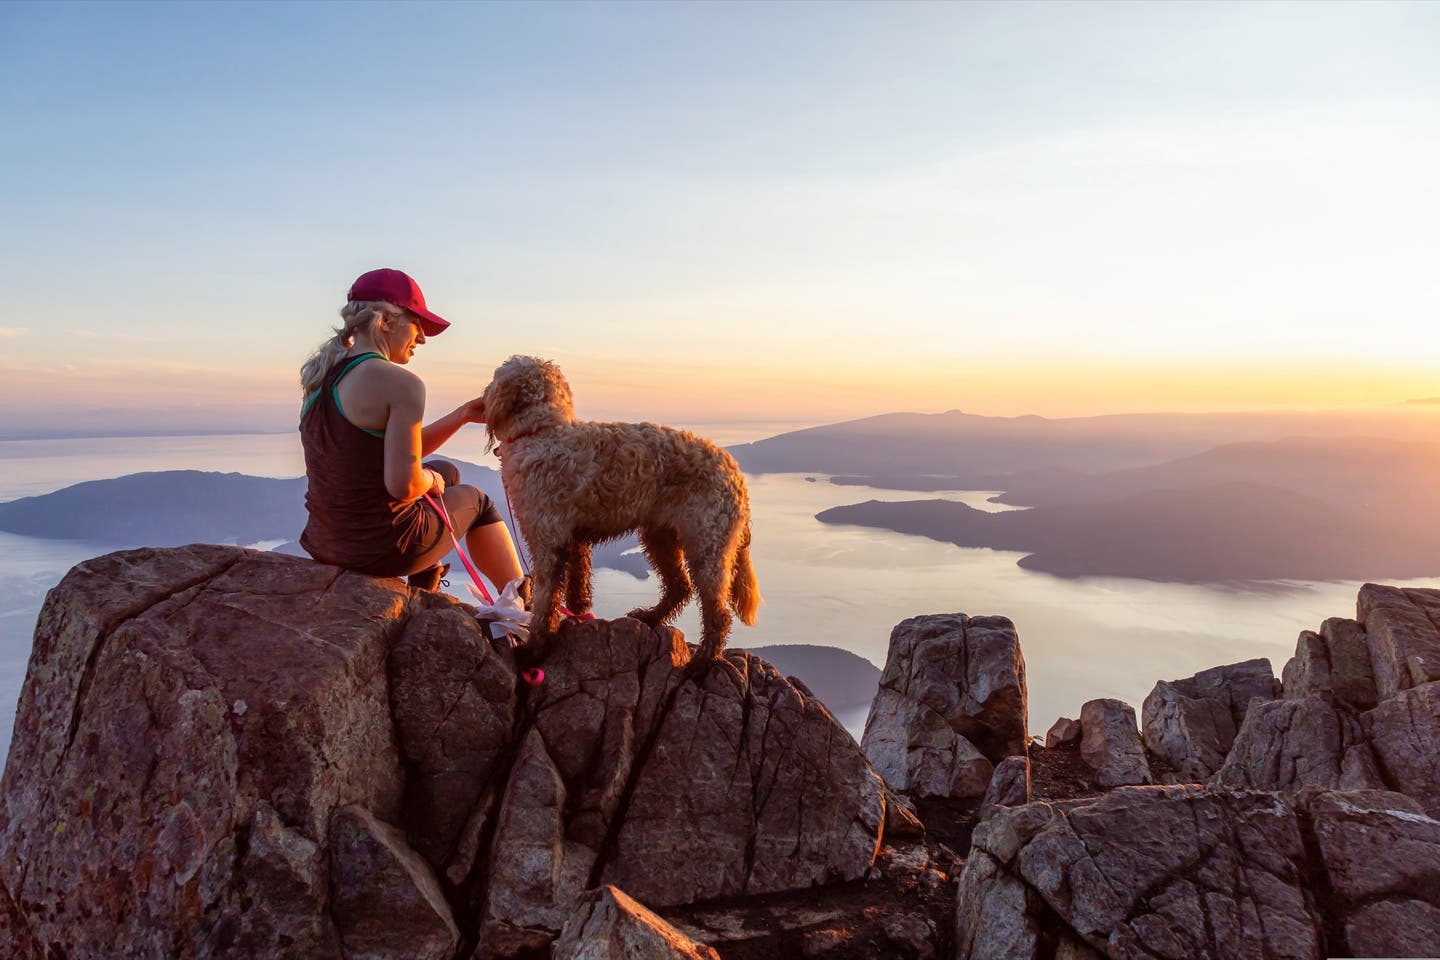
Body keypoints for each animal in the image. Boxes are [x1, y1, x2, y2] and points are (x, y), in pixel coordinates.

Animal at [480, 356, 760, 664]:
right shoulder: (573, 539)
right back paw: (650, 617)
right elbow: (578, 583)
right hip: (660, 536)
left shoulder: (548, 542)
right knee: (679, 586)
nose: (482, 397)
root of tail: (735, 473)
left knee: (718, 612)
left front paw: (535, 648)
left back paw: (703, 661)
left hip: (706, 547)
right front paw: (578, 614)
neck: (543, 432)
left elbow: (545, 600)